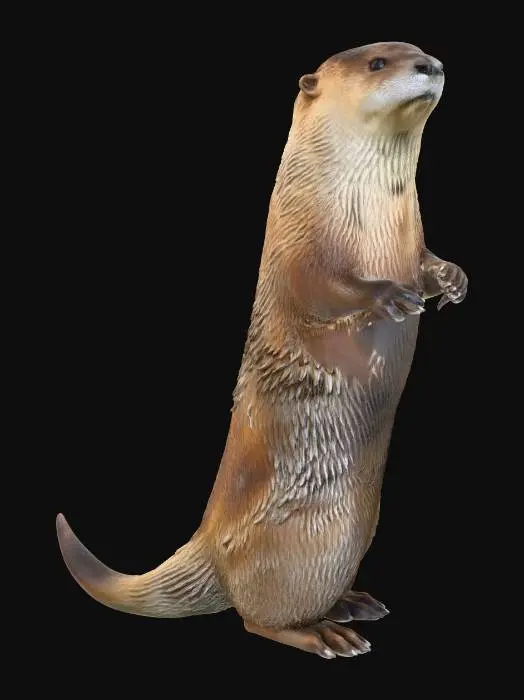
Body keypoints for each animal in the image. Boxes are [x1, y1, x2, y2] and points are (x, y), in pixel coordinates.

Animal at [57, 42, 468, 660]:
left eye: (420, 51)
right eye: (377, 63)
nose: (432, 66)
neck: (367, 208)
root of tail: (211, 546)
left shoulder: (412, 236)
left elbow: (426, 260)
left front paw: (451, 279)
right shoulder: (297, 245)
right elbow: (319, 289)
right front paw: (389, 296)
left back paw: (354, 604)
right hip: (298, 544)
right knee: (256, 618)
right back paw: (324, 634)